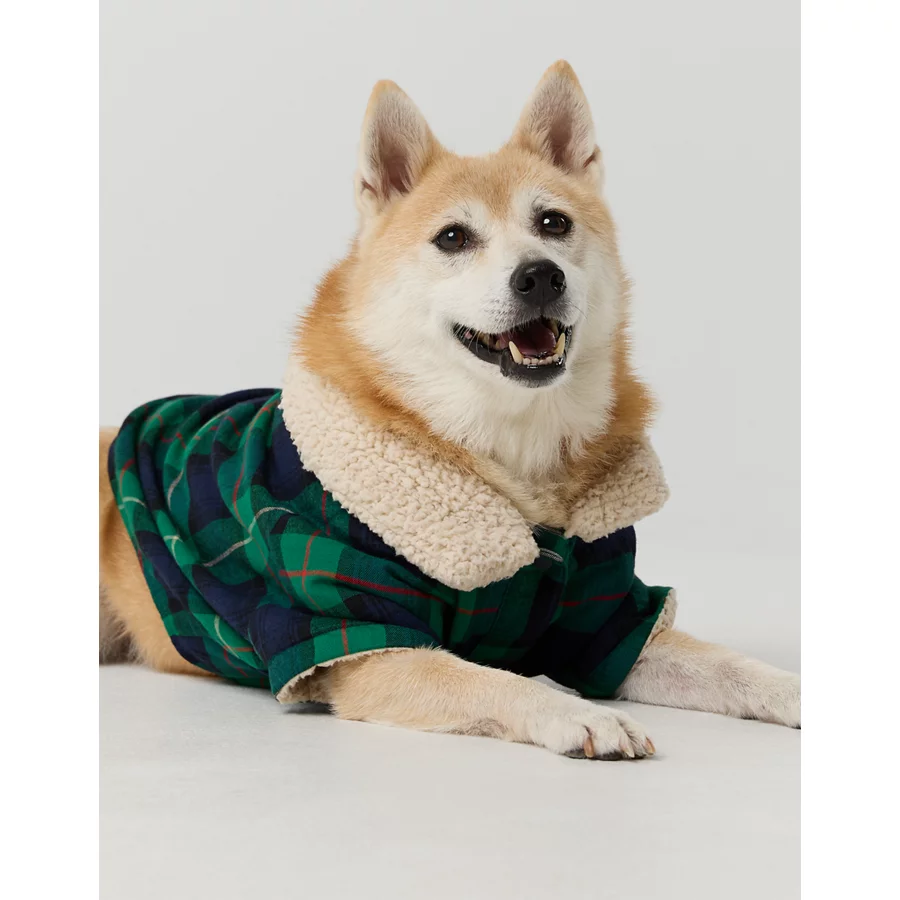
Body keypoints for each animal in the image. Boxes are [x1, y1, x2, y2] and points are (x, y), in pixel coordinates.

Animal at [100, 61, 799, 760]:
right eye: (454, 237)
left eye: (554, 224)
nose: (540, 276)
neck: (508, 452)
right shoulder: (362, 637)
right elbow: (489, 680)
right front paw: (578, 714)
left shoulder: (606, 621)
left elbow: (724, 664)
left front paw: (791, 689)